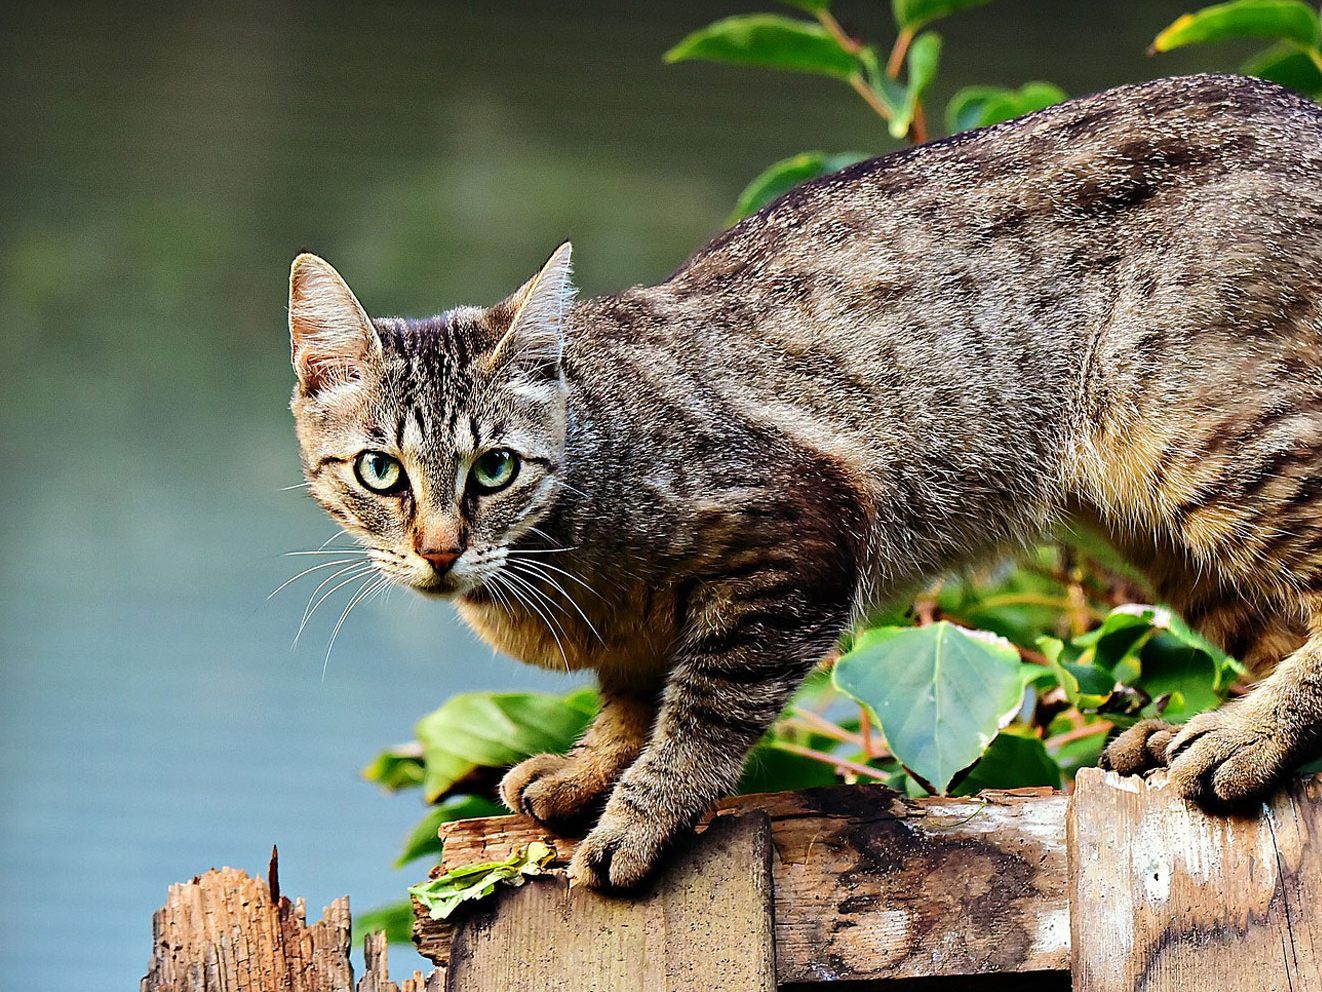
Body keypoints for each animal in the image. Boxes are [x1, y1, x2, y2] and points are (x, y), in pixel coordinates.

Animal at [289, 73, 1322, 888]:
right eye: (380, 472)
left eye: (494, 468)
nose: (438, 550)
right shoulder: (642, 637)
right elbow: (631, 697)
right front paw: (591, 767)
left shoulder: (800, 537)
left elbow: (703, 708)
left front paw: (640, 811)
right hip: (1156, 524)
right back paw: (1191, 729)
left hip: (1211, 433)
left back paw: (1244, 735)